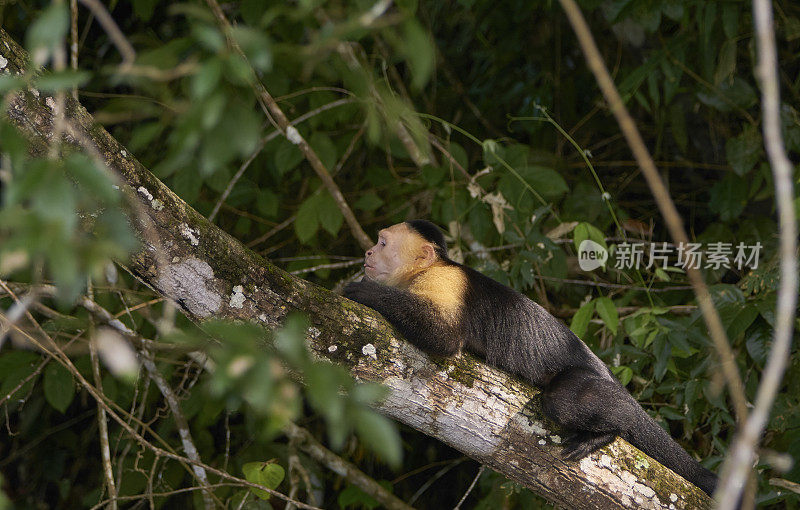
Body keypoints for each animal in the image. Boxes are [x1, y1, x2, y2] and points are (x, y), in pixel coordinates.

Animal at [344, 221, 720, 496]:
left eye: (382, 243)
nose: (367, 250)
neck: (423, 272)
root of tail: (604, 370)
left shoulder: (444, 279)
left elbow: (444, 337)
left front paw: (363, 290)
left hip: (588, 380)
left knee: (562, 402)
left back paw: (611, 431)